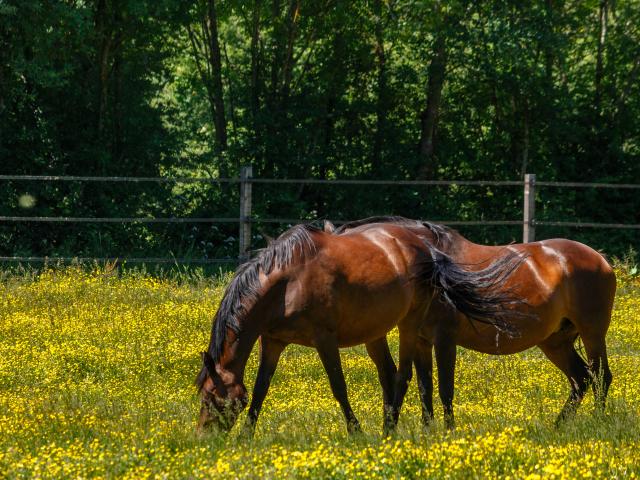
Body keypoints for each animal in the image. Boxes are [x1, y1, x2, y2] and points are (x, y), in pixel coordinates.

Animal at [195, 221, 524, 436]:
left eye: (213, 400)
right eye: (204, 396)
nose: (204, 440)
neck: (288, 283)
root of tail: (427, 249)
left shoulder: (324, 339)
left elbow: (338, 386)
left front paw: (356, 431)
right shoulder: (273, 341)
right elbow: (261, 388)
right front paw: (246, 435)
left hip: (409, 323)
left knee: (403, 374)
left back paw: (388, 431)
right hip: (376, 331)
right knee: (391, 374)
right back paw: (391, 425)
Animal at [336, 218, 616, 428]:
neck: (433, 268)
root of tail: (599, 258)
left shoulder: (445, 339)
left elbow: (445, 389)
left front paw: (448, 431)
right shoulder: (421, 341)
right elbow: (425, 388)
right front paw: (428, 431)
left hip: (592, 333)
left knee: (601, 376)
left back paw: (598, 420)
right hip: (555, 342)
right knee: (581, 379)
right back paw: (558, 426)